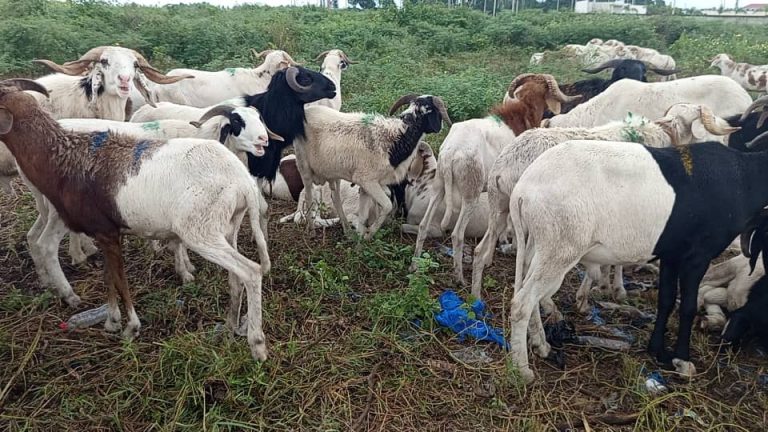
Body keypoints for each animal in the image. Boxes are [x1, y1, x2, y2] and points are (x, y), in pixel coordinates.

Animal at [0, 78, 271, 360]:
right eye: (238, 122)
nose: (264, 140)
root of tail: (241, 181)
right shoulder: (108, 231)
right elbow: (113, 276)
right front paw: (115, 320)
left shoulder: (107, 231)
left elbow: (118, 278)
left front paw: (129, 325)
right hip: (224, 227)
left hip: (202, 231)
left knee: (250, 271)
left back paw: (256, 343)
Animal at [292, 94, 451, 240]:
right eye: (428, 109)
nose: (441, 128)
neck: (395, 143)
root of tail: (307, 111)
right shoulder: (366, 180)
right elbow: (387, 205)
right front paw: (369, 234)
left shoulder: (368, 185)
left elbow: (364, 214)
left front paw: (360, 238)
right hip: (303, 164)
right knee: (309, 196)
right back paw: (311, 231)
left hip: (332, 172)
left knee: (335, 197)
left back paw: (347, 231)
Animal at [411, 74, 579, 283]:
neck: (520, 115)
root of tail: (452, 152)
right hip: (471, 193)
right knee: (457, 234)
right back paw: (460, 277)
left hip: (439, 186)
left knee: (423, 225)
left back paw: (415, 266)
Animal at [504, 136, 768, 384]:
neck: (745, 178)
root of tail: (522, 191)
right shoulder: (697, 255)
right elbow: (687, 307)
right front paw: (683, 361)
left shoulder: (672, 254)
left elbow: (666, 300)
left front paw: (657, 351)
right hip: (561, 246)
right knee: (522, 303)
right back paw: (523, 370)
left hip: (539, 244)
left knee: (530, 291)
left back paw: (542, 346)